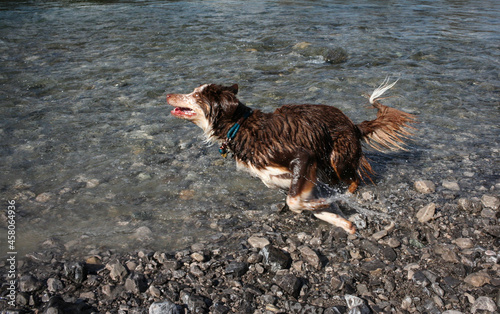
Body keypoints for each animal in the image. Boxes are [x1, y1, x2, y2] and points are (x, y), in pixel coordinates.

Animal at [166, 79, 416, 234]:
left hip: (338, 158)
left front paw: (329, 202)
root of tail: (353, 124)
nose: (168, 94)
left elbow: (294, 201)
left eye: (196, 95)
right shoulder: (297, 180)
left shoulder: (302, 156)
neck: (239, 127)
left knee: (354, 179)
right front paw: (342, 222)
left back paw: (348, 193)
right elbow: (306, 204)